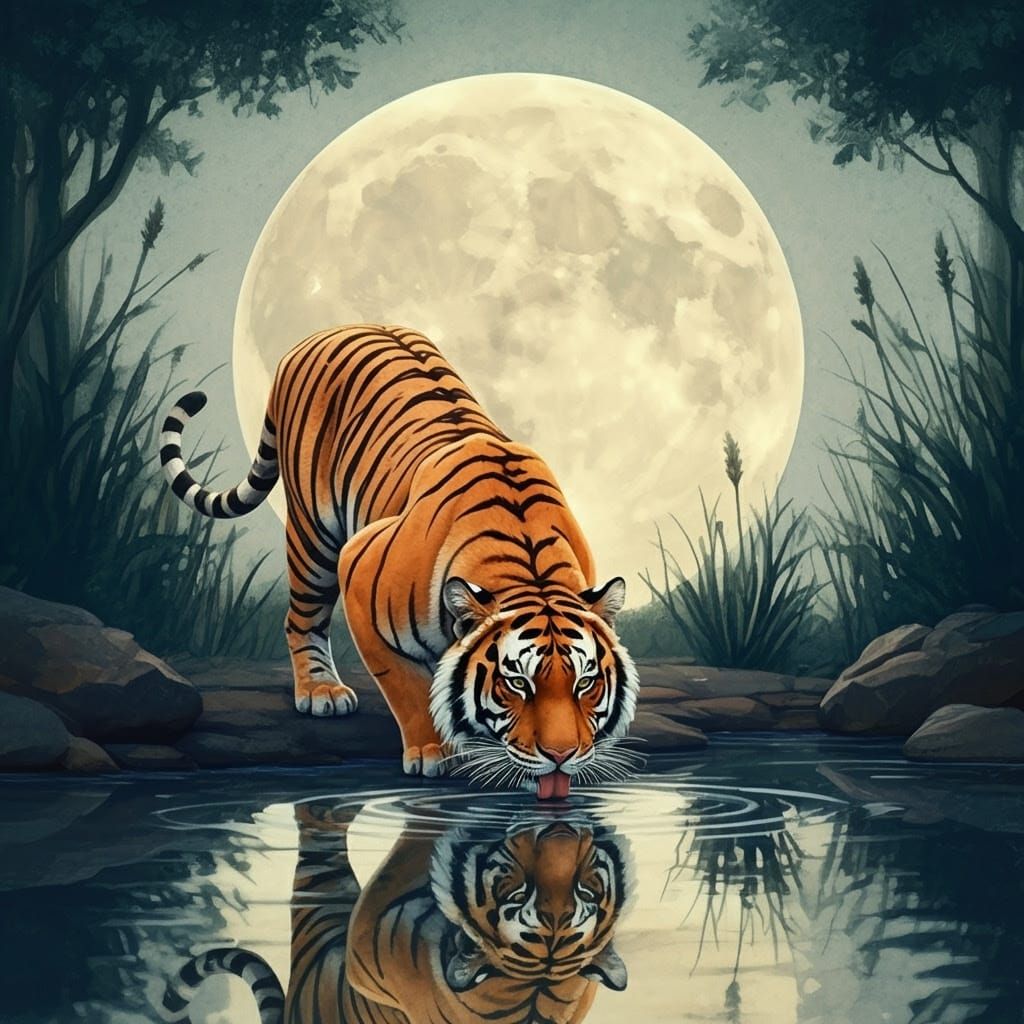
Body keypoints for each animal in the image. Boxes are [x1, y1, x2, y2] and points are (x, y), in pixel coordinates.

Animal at [160, 325, 640, 795]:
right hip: (313, 536)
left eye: (585, 682)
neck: (529, 569)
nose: (562, 755)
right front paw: (431, 751)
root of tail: (324, 333)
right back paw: (321, 690)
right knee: (302, 618)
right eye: (517, 683)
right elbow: (407, 687)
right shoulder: (358, 571)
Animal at [160, 806, 631, 1024]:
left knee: (319, 828)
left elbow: (412, 851)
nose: (563, 832)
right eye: (586, 890)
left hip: (320, 895)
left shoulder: (366, 931)